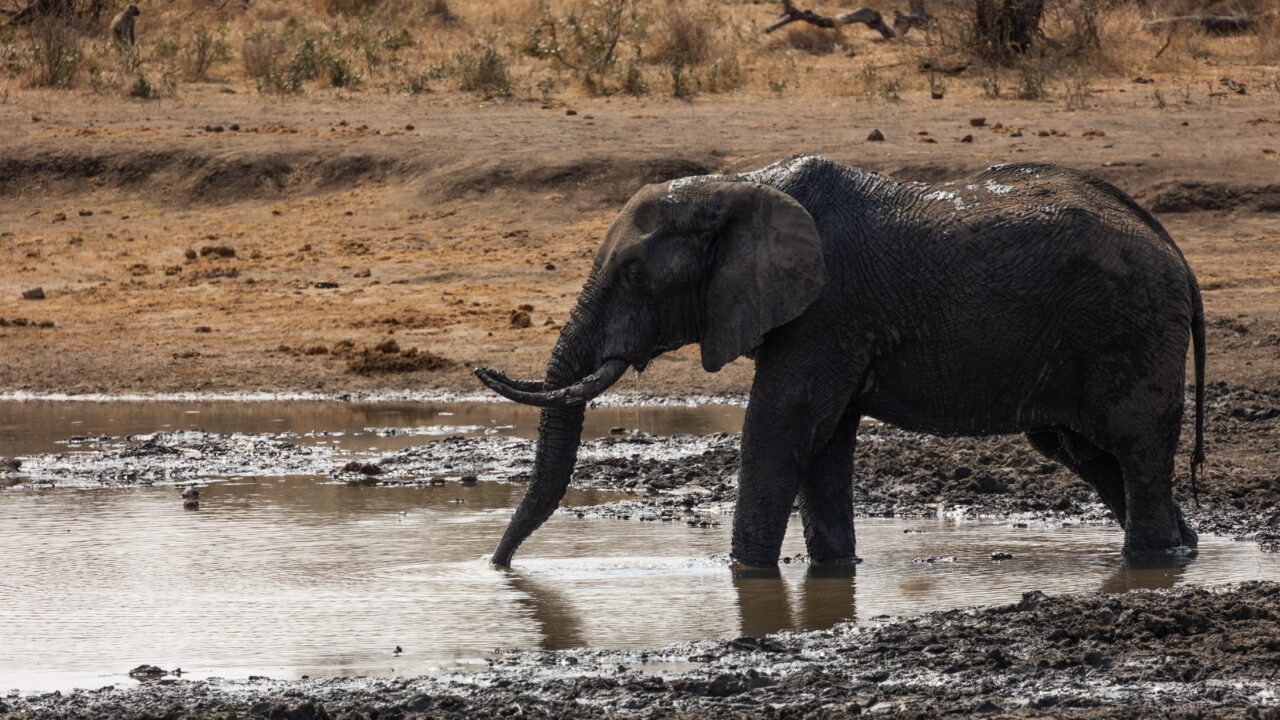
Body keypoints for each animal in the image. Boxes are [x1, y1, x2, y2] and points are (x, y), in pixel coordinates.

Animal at [476, 155, 1206, 568]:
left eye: (632, 274)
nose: (498, 567)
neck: (741, 186)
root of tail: (1177, 253)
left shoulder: (829, 309)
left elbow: (780, 428)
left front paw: (746, 575)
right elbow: (824, 443)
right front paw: (832, 572)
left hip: (1130, 327)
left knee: (1135, 449)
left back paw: (1150, 562)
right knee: (1089, 454)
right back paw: (1181, 549)